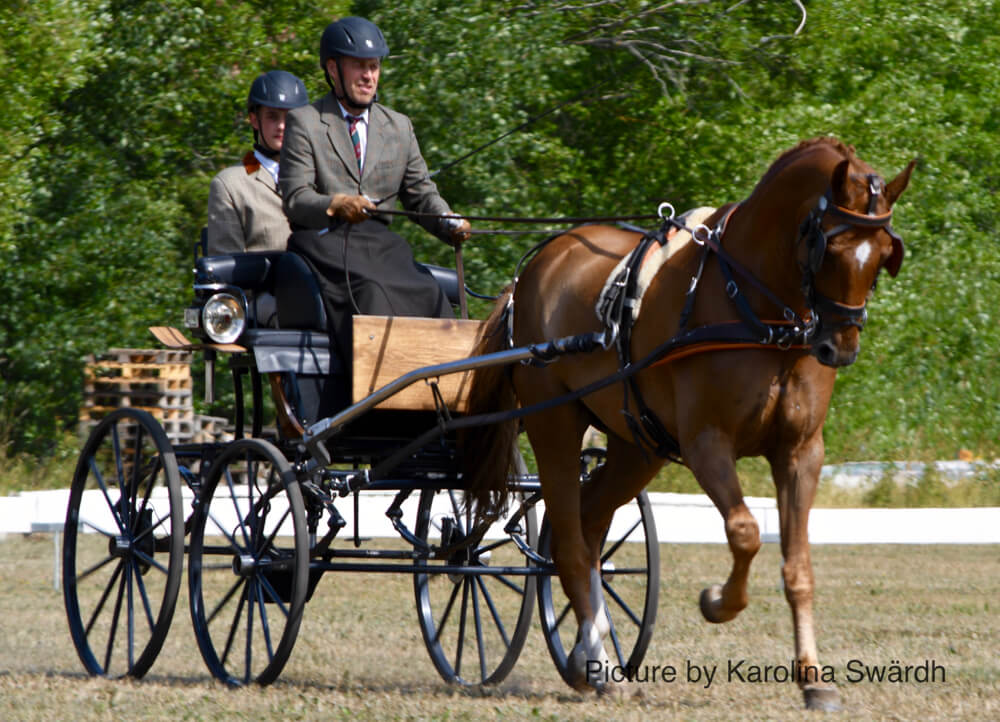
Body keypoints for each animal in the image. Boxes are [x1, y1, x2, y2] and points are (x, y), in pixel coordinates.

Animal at [462, 137, 915, 710]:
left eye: (881, 257)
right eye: (829, 249)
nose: (840, 347)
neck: (757, 311)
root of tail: (533, 271)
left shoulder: (801, 452)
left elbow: (798, 567)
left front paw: (813, 678)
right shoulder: (706, 444)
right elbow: (745, 532)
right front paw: (718, 601)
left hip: (637, 447)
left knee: (589, 527)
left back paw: (590, 656)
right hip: (555, 428)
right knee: (570, 538)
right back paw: (596, 656)